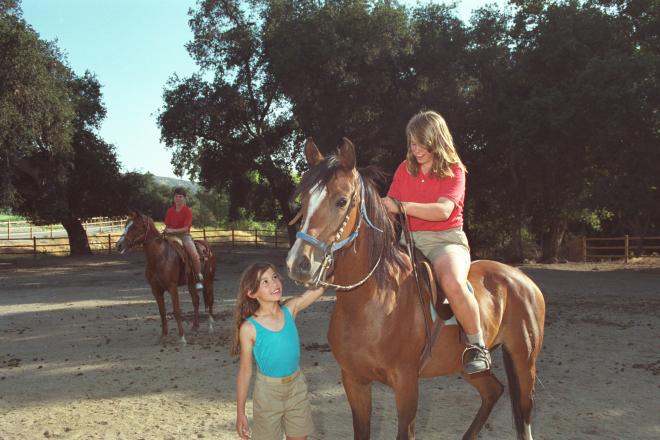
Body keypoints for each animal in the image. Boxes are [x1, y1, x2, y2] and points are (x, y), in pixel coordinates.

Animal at [114, 210, 215, 344]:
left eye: (134, 227)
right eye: (126, 225)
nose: (119, 245)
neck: (160, 257)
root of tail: (206, 247)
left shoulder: (172, 287)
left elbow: (176, 311)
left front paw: (182, 337)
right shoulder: (155, 289)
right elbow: (162, 312)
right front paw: (164, 335)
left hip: (209, 280)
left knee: (209, 300)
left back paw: (210, 326)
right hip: (191, 283)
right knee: (196, 301)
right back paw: (195, 326)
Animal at [288, 139, 548, 438]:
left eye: (341, 201)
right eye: (304, 200)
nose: (299, 263)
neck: (372, 301)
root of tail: (522, 279)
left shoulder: (406, 384)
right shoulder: (354, 381)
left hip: (524, 360)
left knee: (524, 412)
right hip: (468, 366)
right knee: (493, 391)